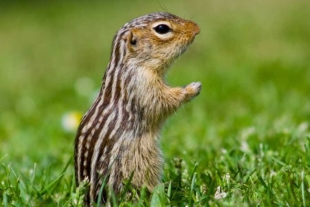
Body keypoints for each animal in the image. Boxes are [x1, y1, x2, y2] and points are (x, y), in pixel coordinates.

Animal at [75, 12, 201, 205]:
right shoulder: (142, 86)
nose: (196, 28)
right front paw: (191, 89)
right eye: (162, 28)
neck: (130, 64)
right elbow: (163, 102)